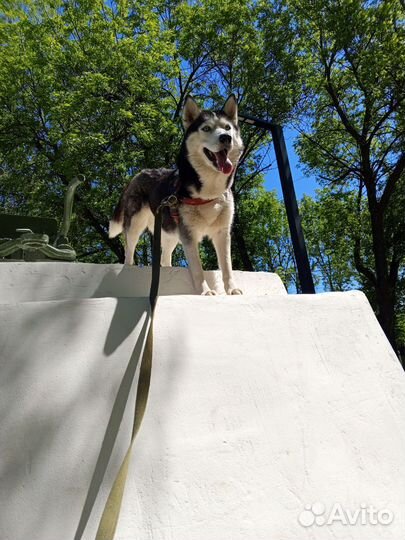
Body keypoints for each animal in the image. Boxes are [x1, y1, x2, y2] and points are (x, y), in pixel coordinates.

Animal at [108, 94, 243, 296]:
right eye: (206, 128)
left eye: (227, 127)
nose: (226, 138)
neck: (208, 192)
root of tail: (139, 173)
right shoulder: (188, 235)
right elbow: (197, 268)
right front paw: (205, 291)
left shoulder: (222, 232)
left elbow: (227, 266)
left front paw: (232, 289)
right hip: (135, 224)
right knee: (129, 251)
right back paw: (129, 268)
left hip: (169, 232)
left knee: (164, 258)